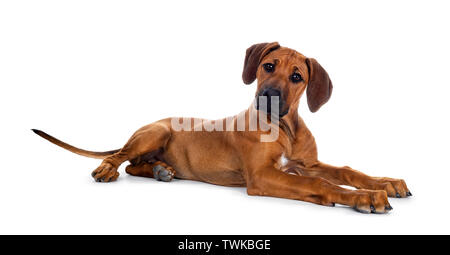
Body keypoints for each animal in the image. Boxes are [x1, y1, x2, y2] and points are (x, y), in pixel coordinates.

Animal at [33, 42, 410, 213]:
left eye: (297, 77)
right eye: (268, 66)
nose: (269, 97)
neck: (284, 129)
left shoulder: (305, 163)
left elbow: (347, 171)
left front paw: (385, 183)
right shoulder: (262, 176)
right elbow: (320, 183)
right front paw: (364, 196)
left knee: (134, 165)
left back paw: (161, 170)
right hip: (155, 132)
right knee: (120, 158)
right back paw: (108, 169)